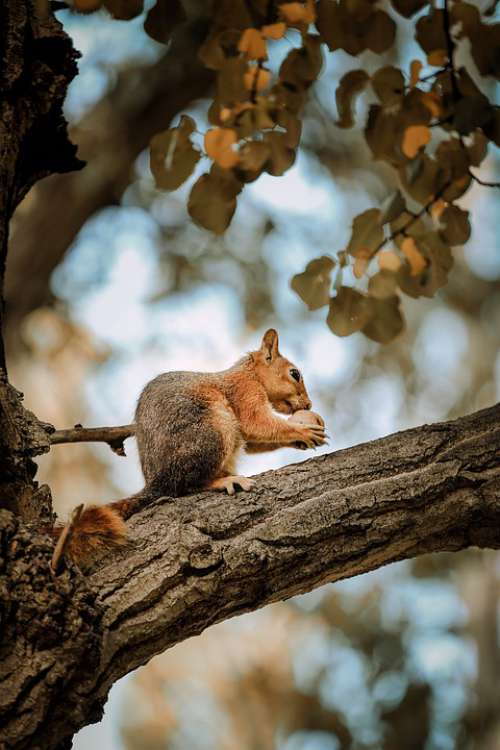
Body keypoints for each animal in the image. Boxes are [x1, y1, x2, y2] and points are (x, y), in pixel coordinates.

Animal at [52, 332, 326, 568]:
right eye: (294, 374)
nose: (309, 404)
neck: (250, 373)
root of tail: (156, 482)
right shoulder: (244, 391)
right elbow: (255, 422)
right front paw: (303, 432)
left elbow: (254, 440)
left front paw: (301, 439)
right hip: (212, 432)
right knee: (185, 486)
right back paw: (222, 481)